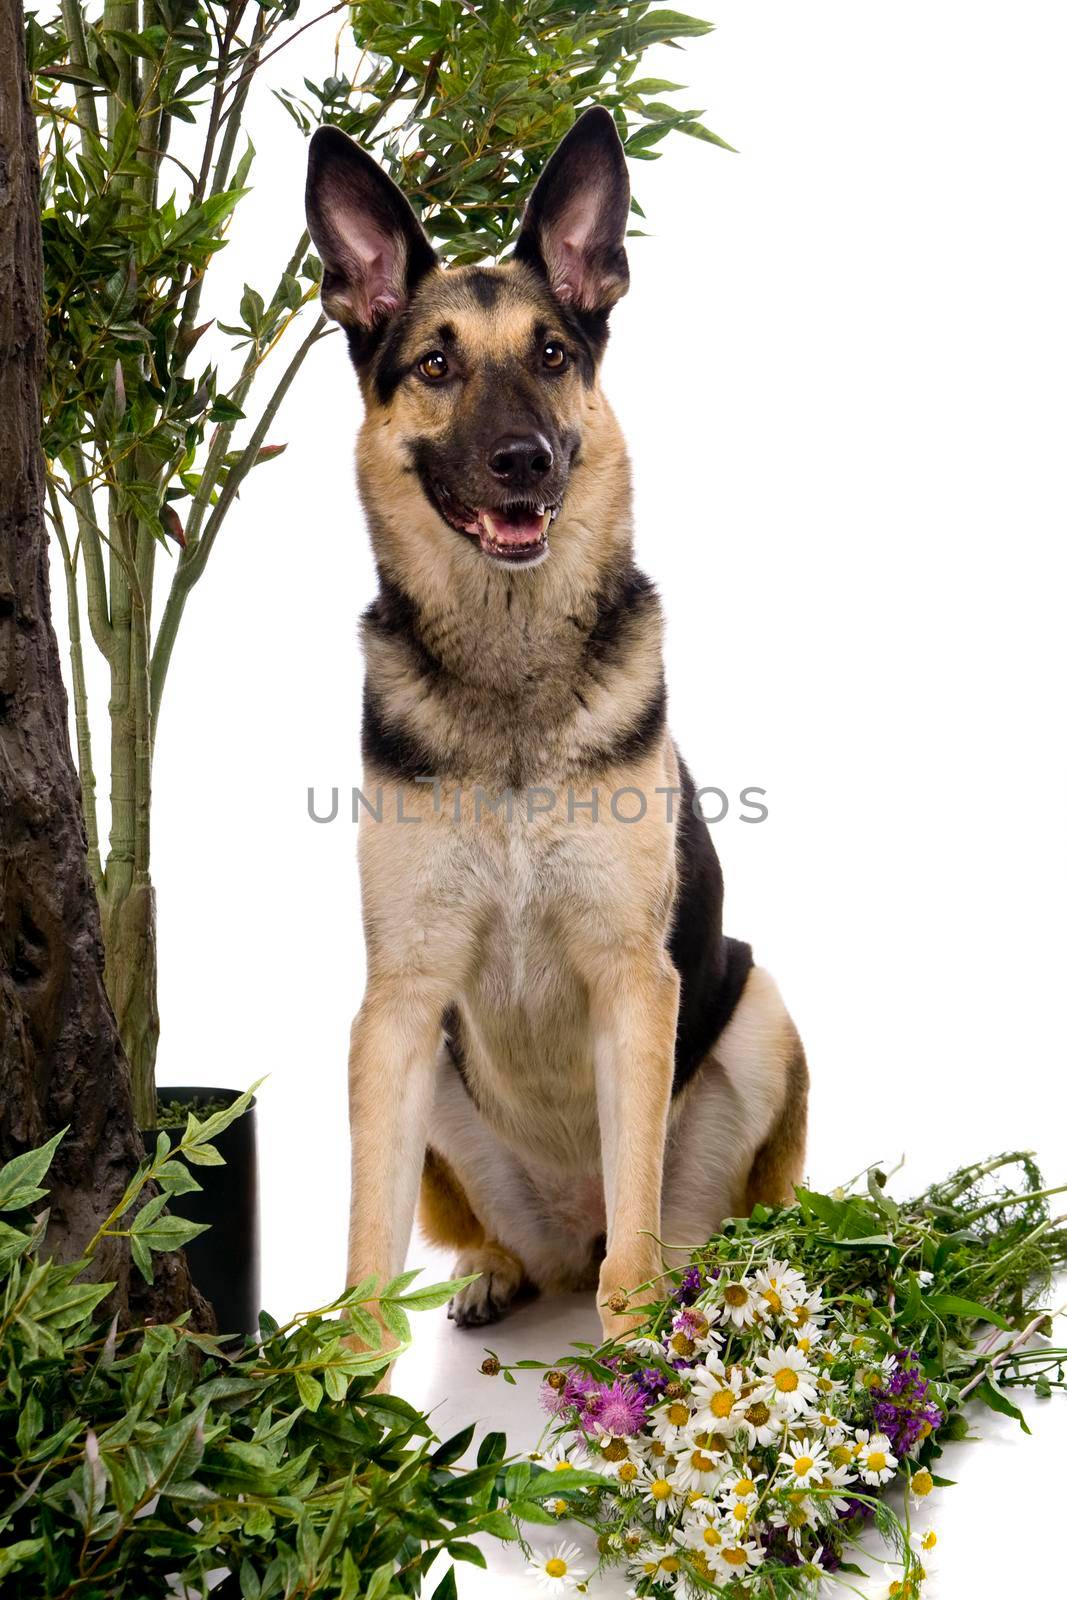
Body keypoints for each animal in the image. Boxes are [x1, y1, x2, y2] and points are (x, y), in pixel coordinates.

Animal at [303, 106, 806, 1344]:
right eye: (435, 365)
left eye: (550, 356)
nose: (524, 461)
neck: (510, 680)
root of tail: (560, 1237)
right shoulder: (396, 1007)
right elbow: (367, 1260)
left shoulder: (634, 984)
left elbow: (634, 1239)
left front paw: (634, 1362)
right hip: (438, 1081)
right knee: (497, 1242)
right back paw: (493, 1271)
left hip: (758, 1011)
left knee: (681, 1226)